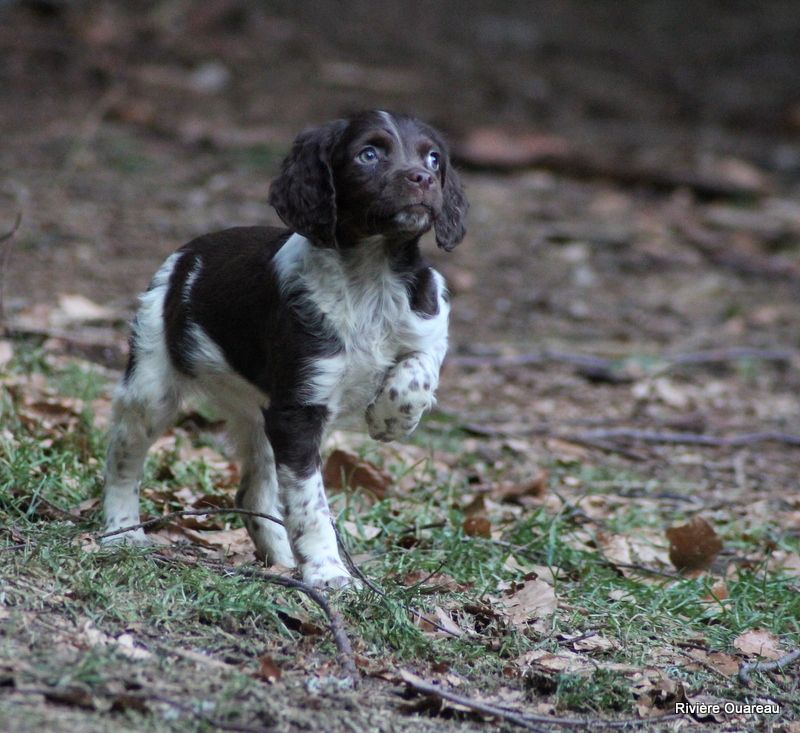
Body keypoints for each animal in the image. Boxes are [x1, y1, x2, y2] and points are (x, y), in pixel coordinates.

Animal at [104, 110, 468, 588]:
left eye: (433, 157)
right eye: (368, 154)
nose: (422, 178)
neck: (370, 276)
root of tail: (186, 255)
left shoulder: (427, 324)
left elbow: (418, 370)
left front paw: (390, 419)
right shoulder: (299, 410)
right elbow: (311, 503)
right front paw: (329, 574)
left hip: (258, 413)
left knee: (253, 491)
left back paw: (278, 559)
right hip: (151, 383)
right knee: (124, 459)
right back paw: (120, 533)